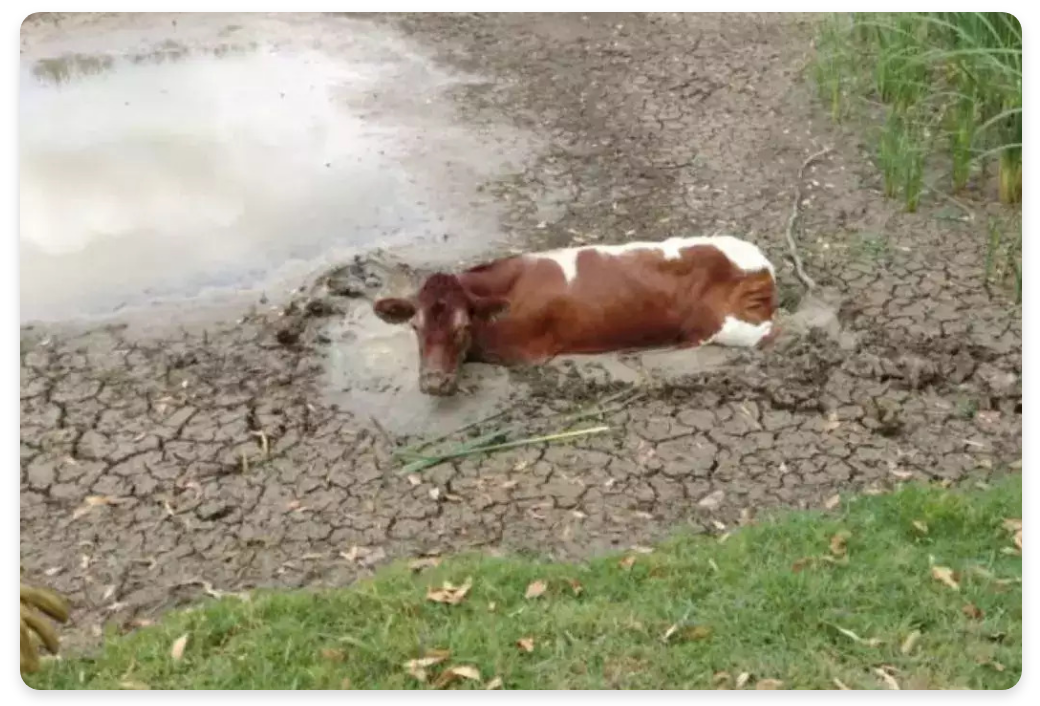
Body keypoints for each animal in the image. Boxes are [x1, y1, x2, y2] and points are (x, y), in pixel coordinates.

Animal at [374, 234, 782, 395]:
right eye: (414, 326)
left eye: (461, 327)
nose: (433, 384)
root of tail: (762, 264)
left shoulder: (524, 354)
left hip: (733, 327)